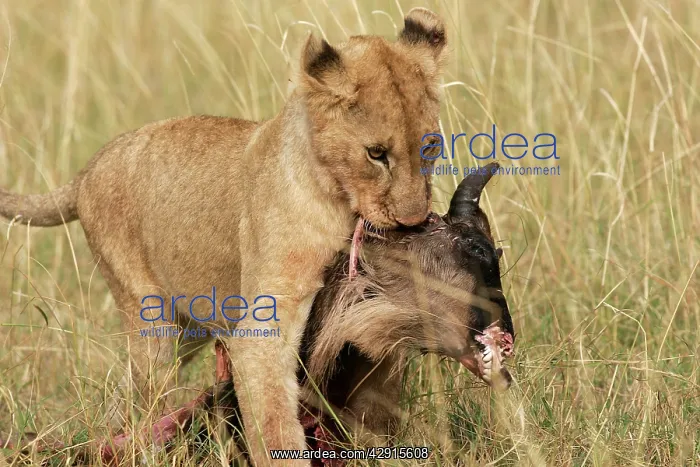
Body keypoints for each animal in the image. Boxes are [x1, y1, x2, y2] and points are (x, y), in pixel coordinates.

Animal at [0, 8, 447, 465]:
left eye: (430, 147)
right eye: (376, 154)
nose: (413, 222)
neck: (338, 199)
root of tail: (88, 168)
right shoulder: (263, 328)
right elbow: (274, 421)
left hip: (187, 328)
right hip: (151, 322)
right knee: (144, 401)